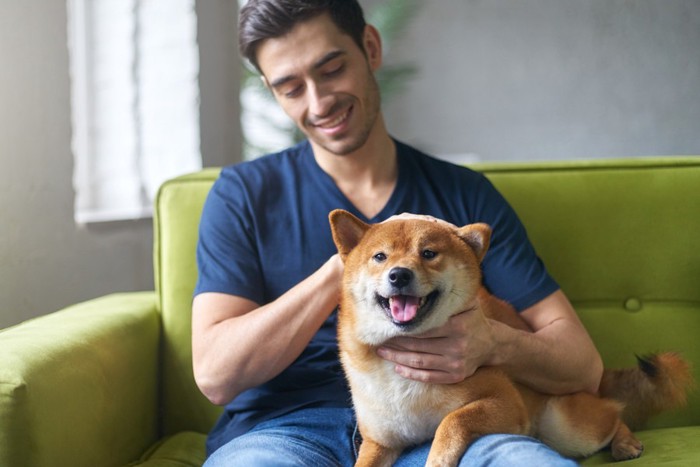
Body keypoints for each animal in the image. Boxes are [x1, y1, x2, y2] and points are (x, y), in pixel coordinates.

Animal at [330, 211, 696, 467]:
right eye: (380, 257)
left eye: (429, 253)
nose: (399, 275)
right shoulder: (380, 442)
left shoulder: (505, 403)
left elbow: (452, 420)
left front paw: (438, 457)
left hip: (566, 426)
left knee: (613, 414)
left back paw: (624, 441)